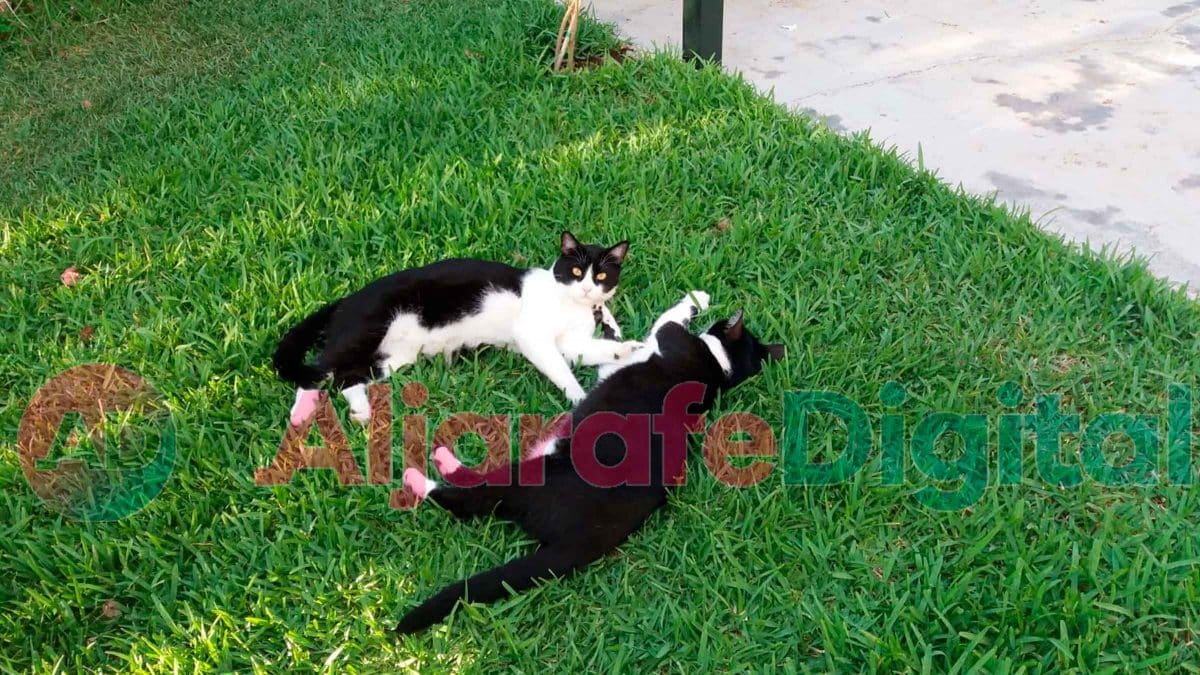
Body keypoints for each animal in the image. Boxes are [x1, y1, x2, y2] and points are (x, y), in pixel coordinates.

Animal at [273, 232, 640, 426]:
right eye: (577, 271)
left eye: (601, 276)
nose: (588, 289)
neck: (572, 307)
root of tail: (345, 300)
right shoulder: (532, 336)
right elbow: (561, 369)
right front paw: (579, 398)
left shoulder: (569, 342)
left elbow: (588, 351)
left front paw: (628, 349)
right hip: (367, 329)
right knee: (319, 371)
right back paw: (301, 414)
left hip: (394, 359)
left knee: (347, 376)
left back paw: (361, 411)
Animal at [393, 291, 785, 634]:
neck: (720, 369)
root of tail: (585, 539)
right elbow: (616, 341)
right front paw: (608, 318)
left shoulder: (669, 339)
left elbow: (668, 319)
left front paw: (694, 300)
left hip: (531, 474)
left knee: (465, 499)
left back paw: (427, 472)